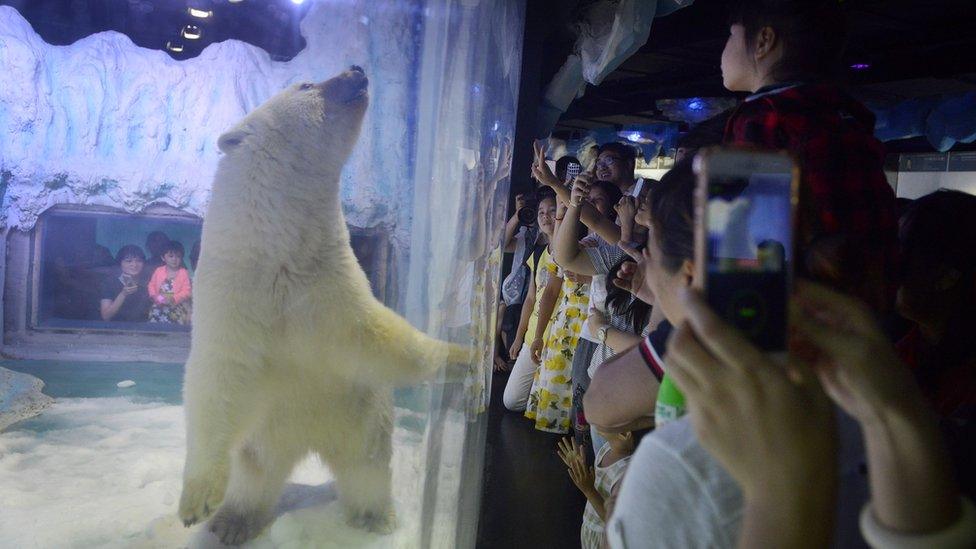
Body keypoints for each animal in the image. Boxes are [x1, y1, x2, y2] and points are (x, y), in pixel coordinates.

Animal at [180, 64, 468, 544]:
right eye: (306, 84)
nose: (357, 69)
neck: (281, 253)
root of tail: (307, 443)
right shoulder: (235, 290)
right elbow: (218, 376)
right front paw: (197, 501)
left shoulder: (330, 281)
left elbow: (381, 336)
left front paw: (465, 356)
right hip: (270, 436)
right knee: (254, 475)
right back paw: (233, 522)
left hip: (360, 420)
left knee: (366, 471)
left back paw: (374, 516)